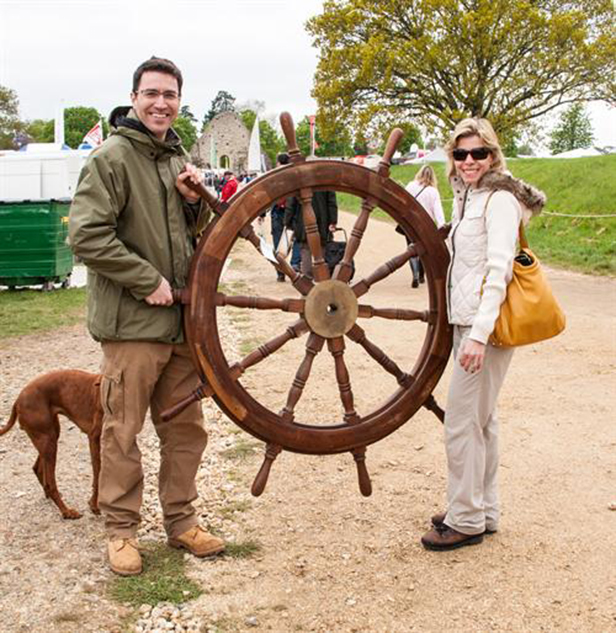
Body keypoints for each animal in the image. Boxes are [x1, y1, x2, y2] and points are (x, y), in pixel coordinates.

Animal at [0, 370, 103, 520]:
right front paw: (94, 505)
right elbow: (97, 473)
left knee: (37, 469)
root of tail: (18, 400)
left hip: (50, 436)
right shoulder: (94, 438)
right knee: (51, 484)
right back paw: (66, 511)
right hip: (48, 440)